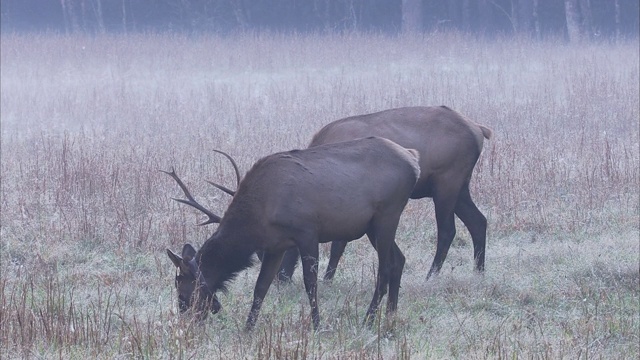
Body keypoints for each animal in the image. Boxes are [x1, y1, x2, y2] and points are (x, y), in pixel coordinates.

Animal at [164, 136, 420, 330]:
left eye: (182, 293)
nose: (186, 323)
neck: (257, 218)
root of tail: (413, 159)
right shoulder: (275, 245)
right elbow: (261, 287)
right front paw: (248, 329)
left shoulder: (307, 232)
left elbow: (310, 282)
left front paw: (317, 325)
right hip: (372, 226)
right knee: (398, 259)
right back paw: (390, 316)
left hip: (388, 214)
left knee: (384, 268)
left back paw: (369, 319)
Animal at [278, 106, 492, 282]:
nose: (280, 278)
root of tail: (478, 129)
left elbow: (338, 244)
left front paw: (327, 279)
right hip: (460, 187)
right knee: (478, 221)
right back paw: (479, 272)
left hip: (446, 183)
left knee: (448, 230)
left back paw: (431, 276)